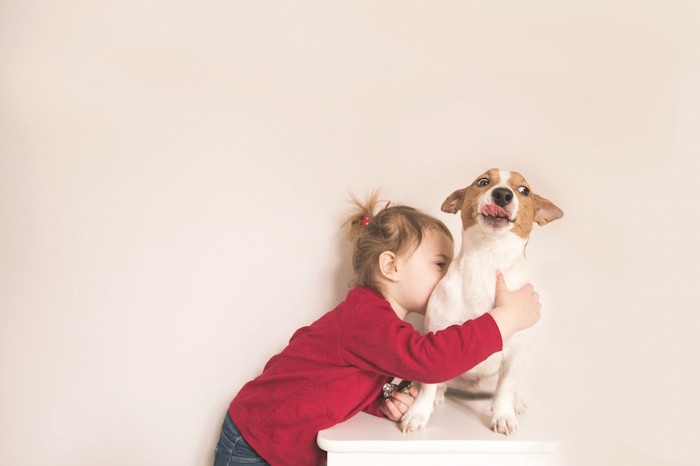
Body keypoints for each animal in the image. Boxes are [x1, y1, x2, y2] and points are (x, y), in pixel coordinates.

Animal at [400, 168, 564, 436]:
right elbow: (428, 385)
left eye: (524, 190)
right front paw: (418, 412)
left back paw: (516, 402)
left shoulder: (516, 354)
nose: (503, 194)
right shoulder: (435, 340)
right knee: (442, 384)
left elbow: (505, 388)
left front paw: (504, 415)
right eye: (483, 182)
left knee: (509, 387)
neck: (487, 260)